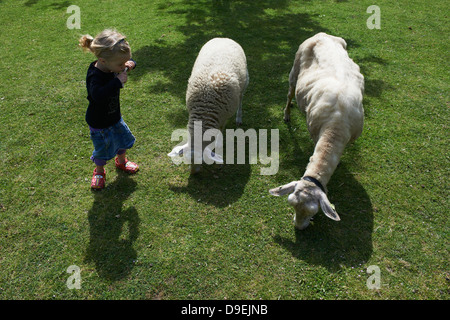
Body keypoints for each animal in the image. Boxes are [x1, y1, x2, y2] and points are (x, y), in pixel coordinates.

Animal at [169, 37, 250, 175]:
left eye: (202, 160)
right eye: (186, 160)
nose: (194, 174)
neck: (206, 106)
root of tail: (223, 38)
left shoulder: (223, 116)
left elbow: (220, 130)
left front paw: (217, 144)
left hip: (244, 82)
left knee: (241, 99)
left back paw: (239, 117)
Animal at [268, 33, 364, 230]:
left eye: (314, 212)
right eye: (291, 204)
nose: (298, 227)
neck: (336, 129)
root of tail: (322, 34)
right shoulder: (315, 134)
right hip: (294, 70)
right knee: (289, 94)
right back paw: (287, 114)